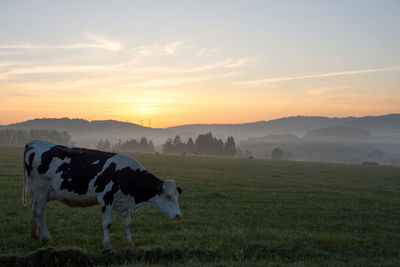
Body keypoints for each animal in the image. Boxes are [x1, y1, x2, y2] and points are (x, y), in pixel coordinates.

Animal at [23, 140, 183, 249]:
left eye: (177, 196)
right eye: (168, 196)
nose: (178, 215)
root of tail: (36, 142)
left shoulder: (124, 203)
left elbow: (126, 224)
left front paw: (130, 243)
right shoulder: (106, 199)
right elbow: (107, 224)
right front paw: (107, 245)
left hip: (36, 192)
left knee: (32, 209)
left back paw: (34, 234)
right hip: (41, 190)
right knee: (39, 212)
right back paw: (47, 238)